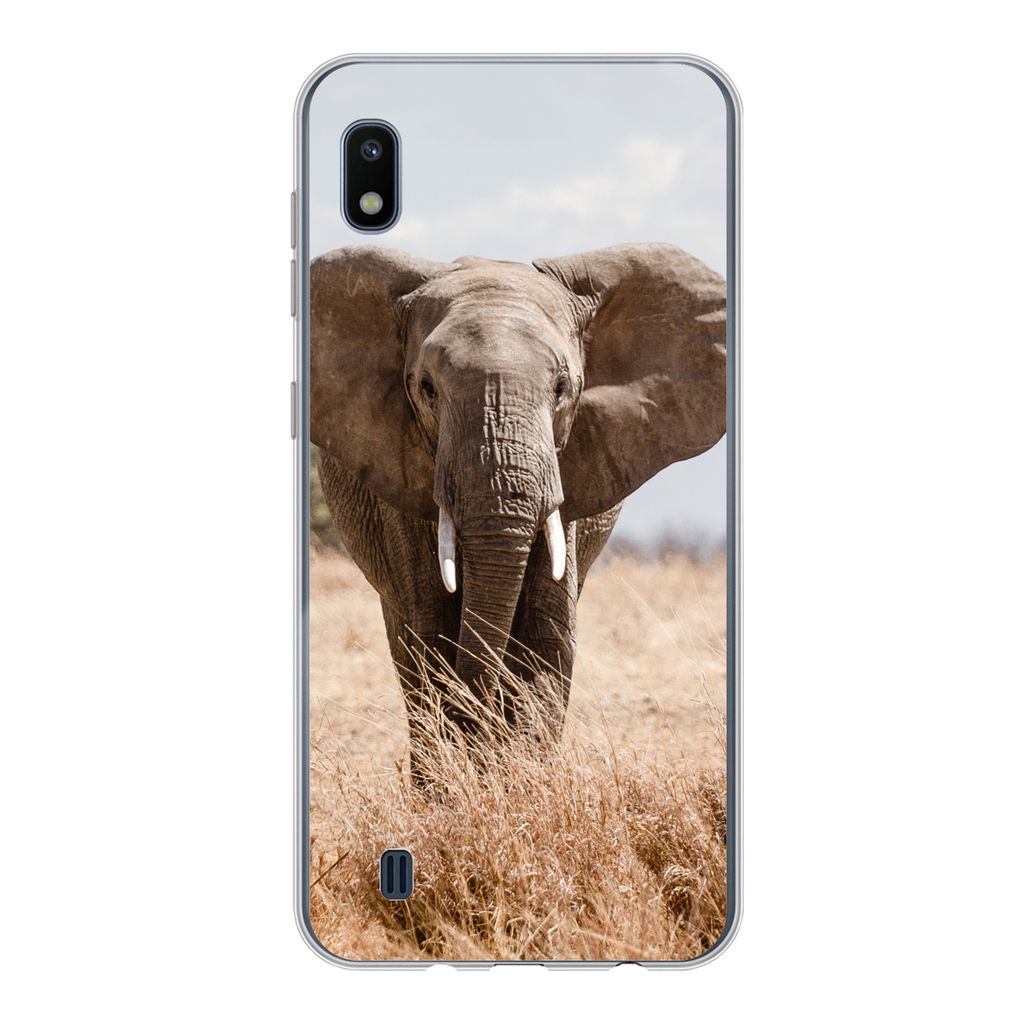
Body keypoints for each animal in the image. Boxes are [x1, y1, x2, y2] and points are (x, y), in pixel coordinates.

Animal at [310, 243, 726, 773]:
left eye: (562, 388)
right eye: (427, 388)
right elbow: (432, 631)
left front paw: (519, 779)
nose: (477, 728)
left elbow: (545, 637)